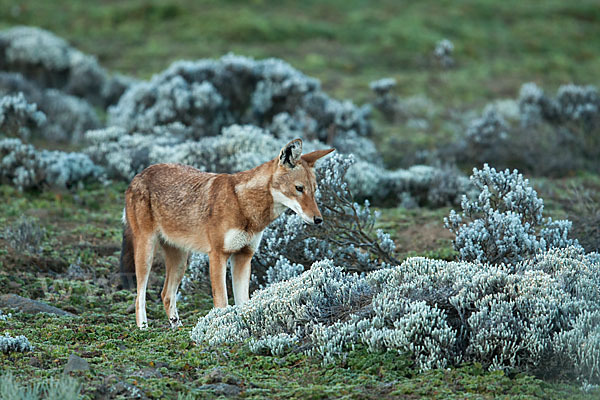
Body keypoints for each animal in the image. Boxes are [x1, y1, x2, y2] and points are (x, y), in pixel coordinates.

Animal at [119, 139, 336, 330]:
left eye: (314, 190)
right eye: (299, 188)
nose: (318, 219)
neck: (244, 206)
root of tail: (138, 175)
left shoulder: (243, 257)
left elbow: (244, 302)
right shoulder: (217, 256)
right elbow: (222, 302)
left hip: (180, 260)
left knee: (166, 294)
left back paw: (176, 327)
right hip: (146, 253)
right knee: (140, 295)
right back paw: (143, 328)